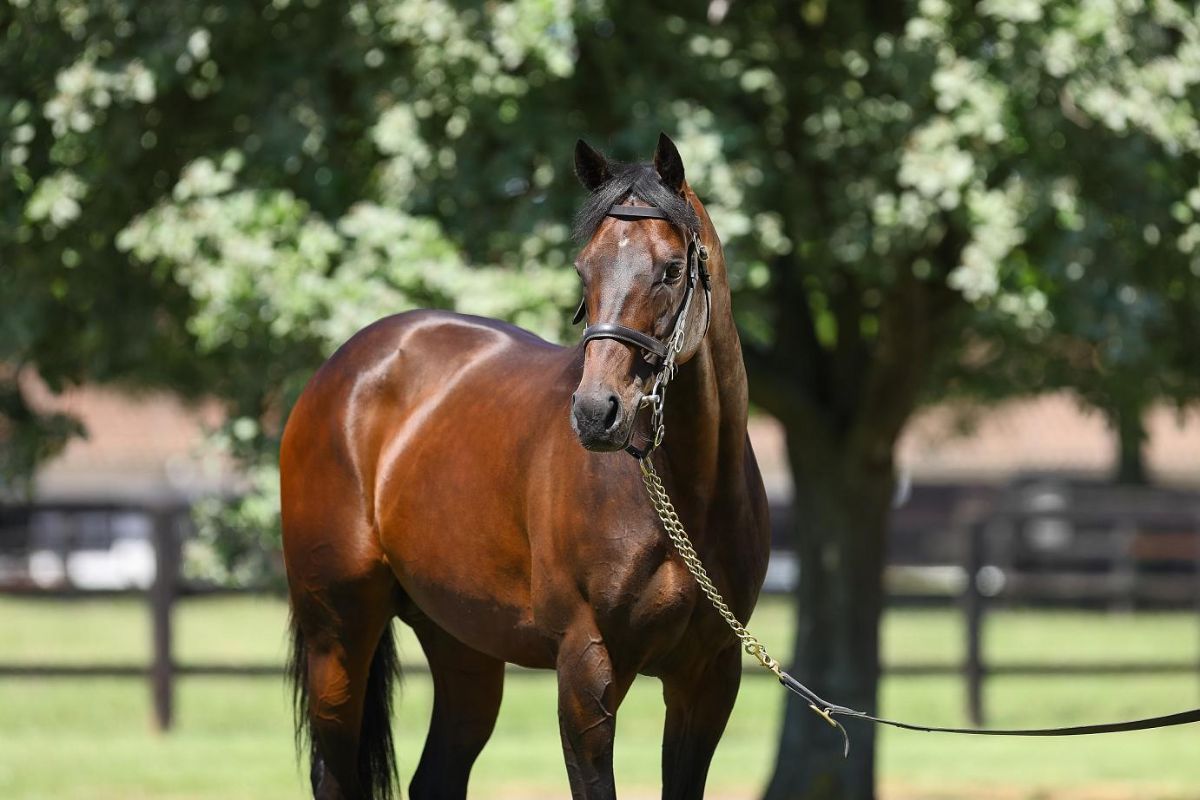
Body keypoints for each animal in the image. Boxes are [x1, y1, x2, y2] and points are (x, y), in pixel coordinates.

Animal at [280, 133, 771, 800]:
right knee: (335, 773)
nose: (595, 413)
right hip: (338, 636)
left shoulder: (709, 678)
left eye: (671, 270)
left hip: (463, 645)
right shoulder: (586, 671)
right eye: (583, 270)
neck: (687, 497)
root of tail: (342, 370)